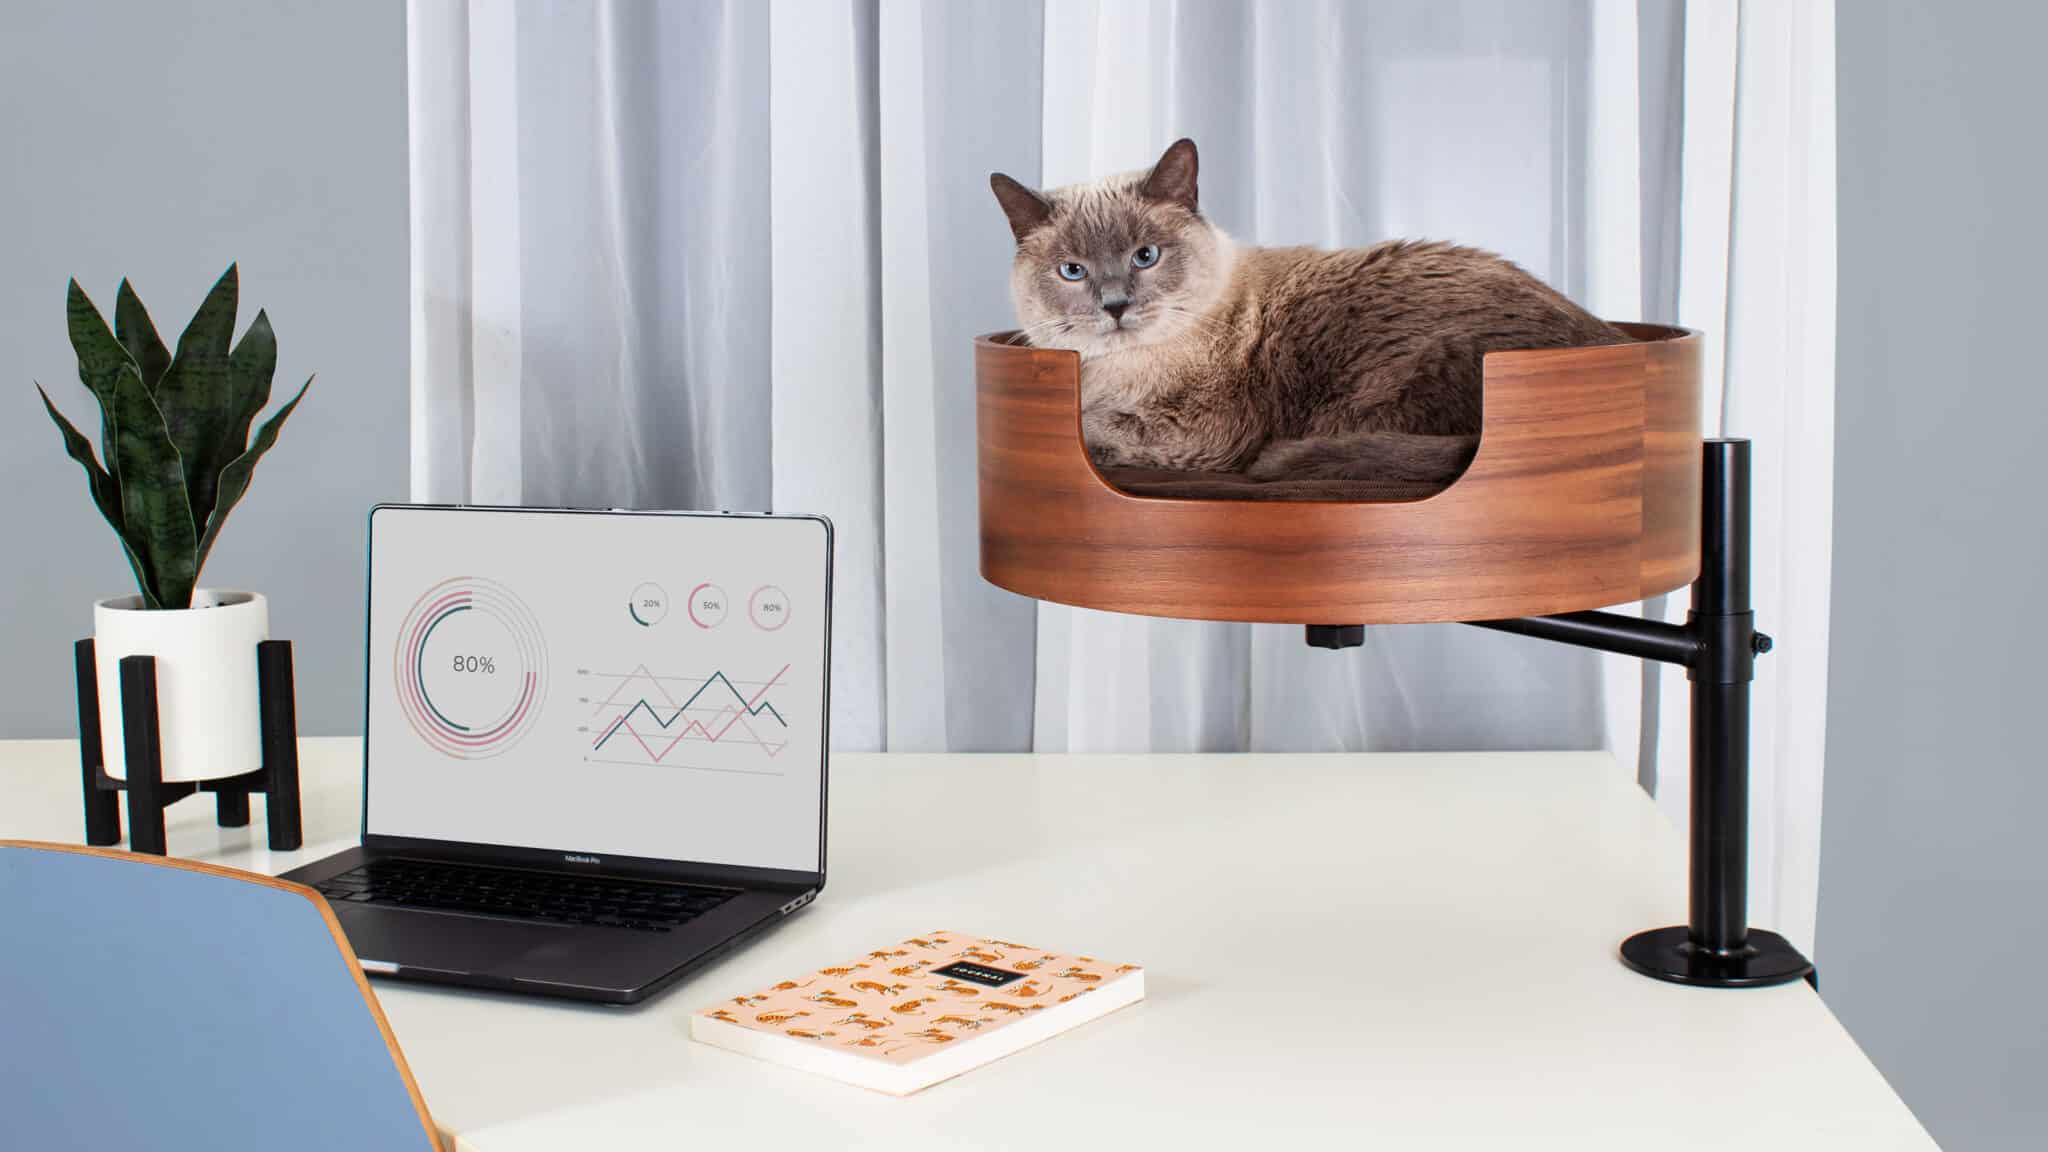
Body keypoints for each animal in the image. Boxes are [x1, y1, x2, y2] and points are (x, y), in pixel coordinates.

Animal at [983, 139, 1622, 479]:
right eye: (1073, 271)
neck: (1113, 371)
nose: (1116, 305)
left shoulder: (1197, 432)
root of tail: (1611, 341)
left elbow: (1092, 426)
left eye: (1146, 256)